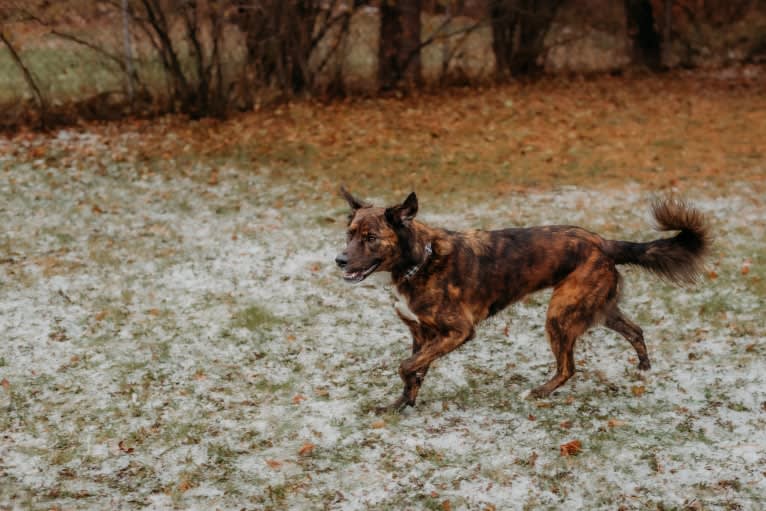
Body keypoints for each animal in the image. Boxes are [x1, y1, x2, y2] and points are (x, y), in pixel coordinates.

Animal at [336, 188, 712, 412]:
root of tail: (602, 242)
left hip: (559, 314)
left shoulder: (457, 332)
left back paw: (539, 392)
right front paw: (401, 405)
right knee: (635, 330)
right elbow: (415, 370)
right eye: (349, 234)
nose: (339, 260)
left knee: (568, 367)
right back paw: (644, 369)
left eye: (371, 238)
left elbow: (406, 366)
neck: (418, 261)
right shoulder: (420, 333)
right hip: (598, 308)